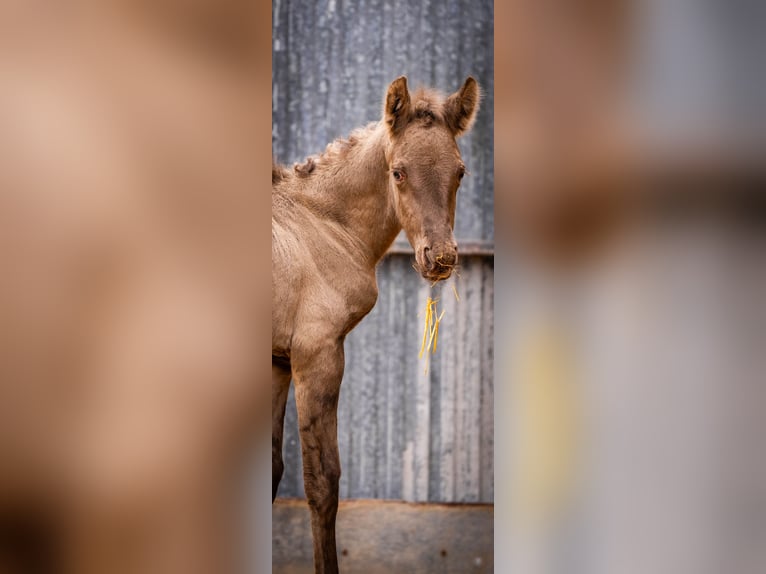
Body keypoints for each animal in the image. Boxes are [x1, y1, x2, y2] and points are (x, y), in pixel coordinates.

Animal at [274, 74, 480, 572]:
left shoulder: (276, 364)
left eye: (460, 171)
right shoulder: (317, 355)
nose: (440, 258)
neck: (322, 224)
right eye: (398, 172)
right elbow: (322, 482)